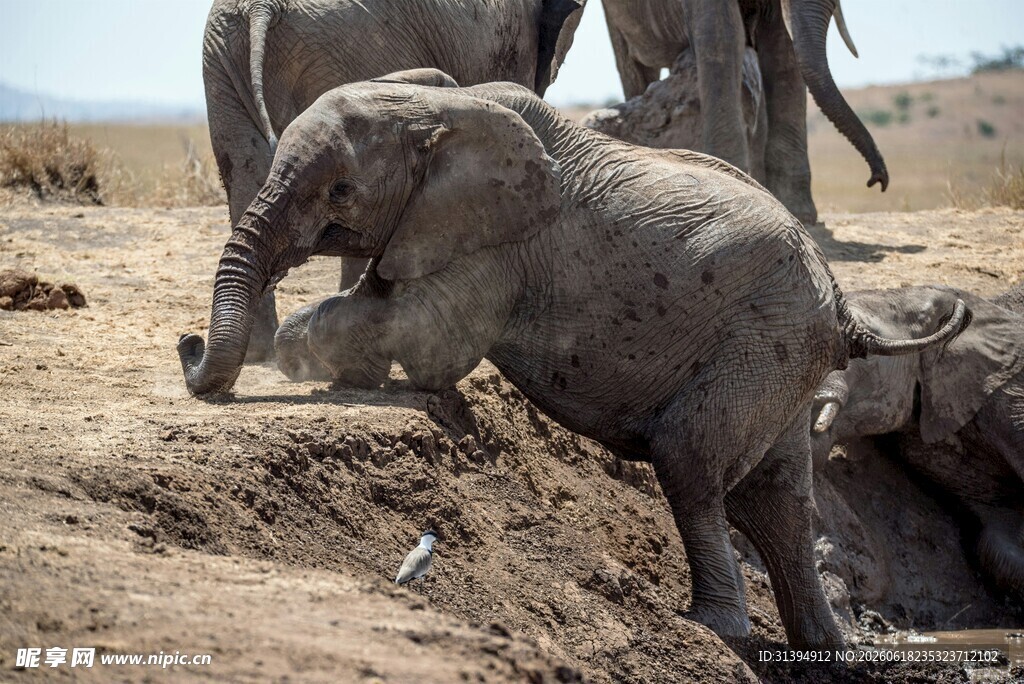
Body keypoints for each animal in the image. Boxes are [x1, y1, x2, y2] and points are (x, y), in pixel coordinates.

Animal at [177, 70, 971, 650]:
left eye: (340, 190)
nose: (189, 349)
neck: (442, 107)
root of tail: (841, 304)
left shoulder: (506, 245)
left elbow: (424, 334)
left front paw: (299, 355)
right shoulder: (433, 224)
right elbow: (384, 305)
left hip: (762, 341)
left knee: (692, 464)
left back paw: (710, 628)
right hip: (781, 358)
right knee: (774, 499)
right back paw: (823, 654)